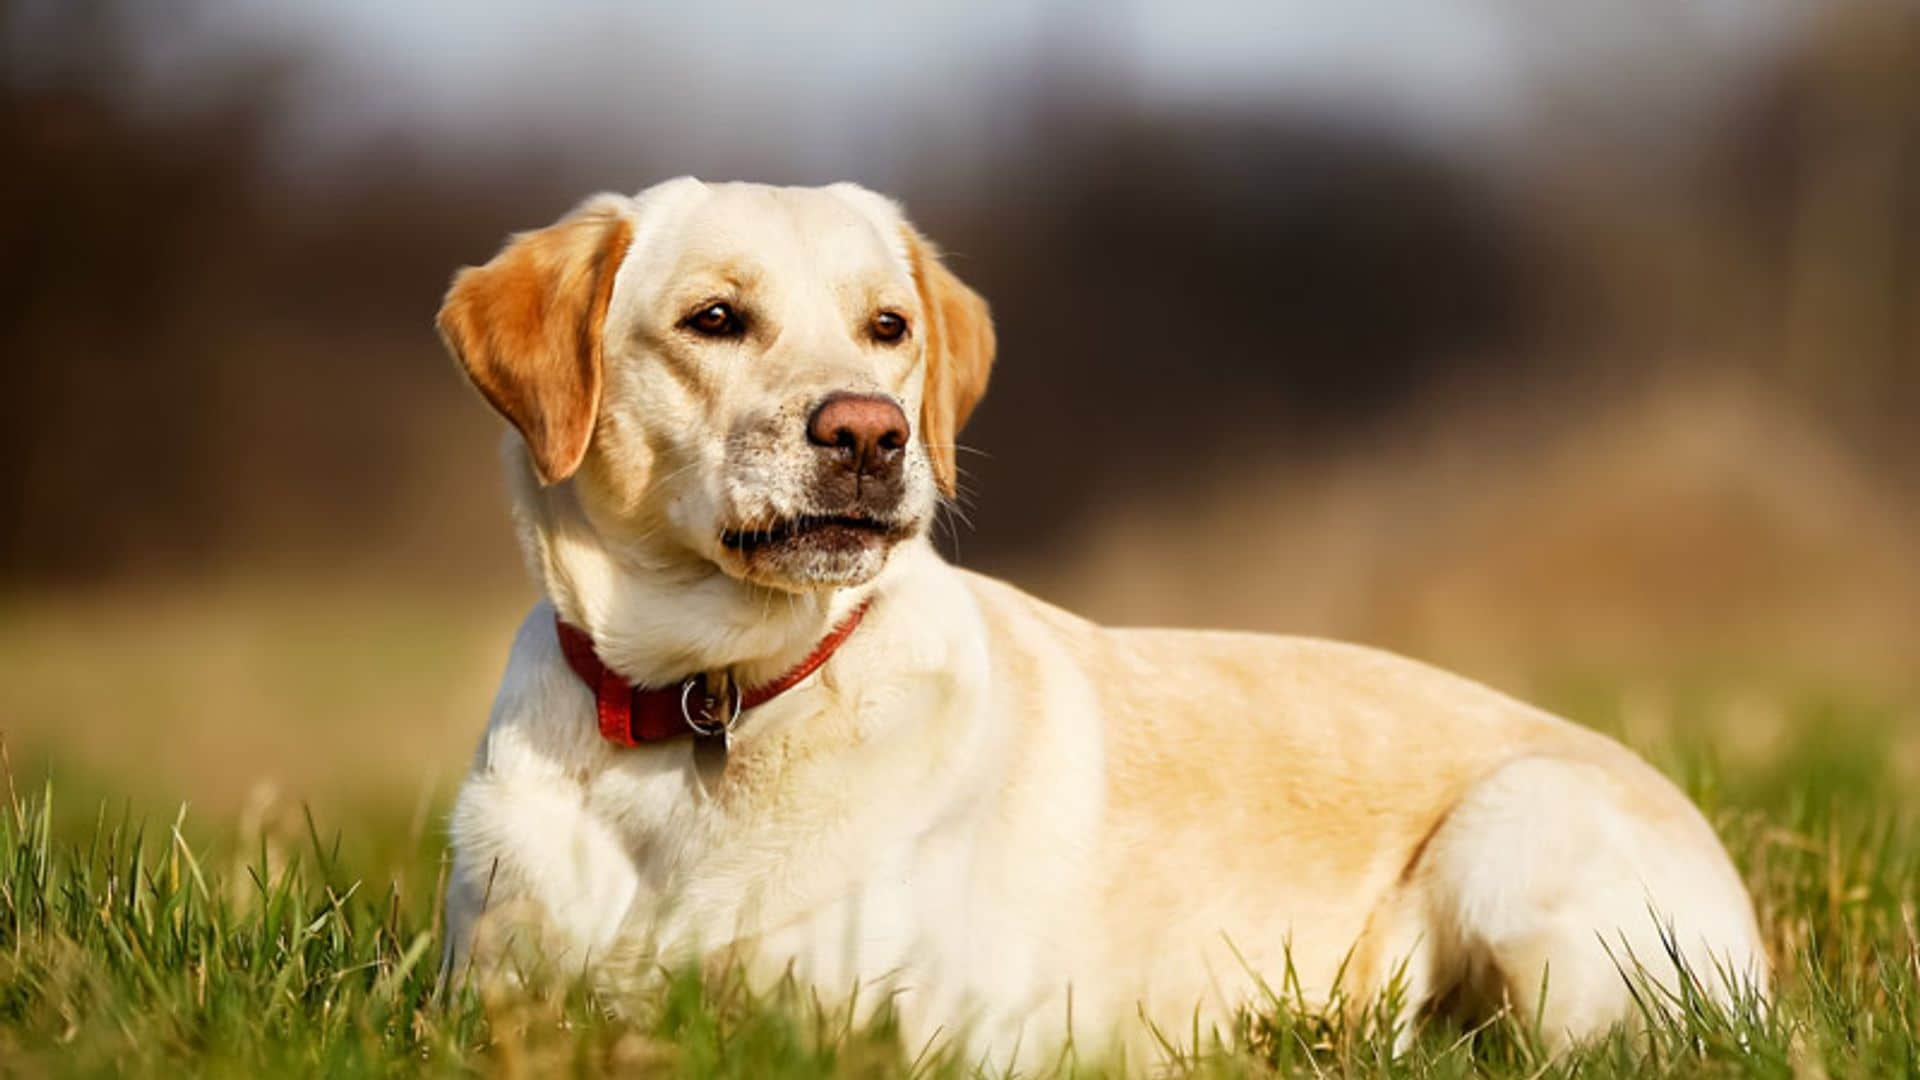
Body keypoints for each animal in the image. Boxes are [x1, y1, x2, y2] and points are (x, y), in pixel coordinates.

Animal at [435, 176, 1766, 1060]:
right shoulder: (489, 994)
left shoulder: (901, 1029)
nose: (871, 433)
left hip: (1519, 838)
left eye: (888, 327)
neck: (706, 699)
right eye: (714, 318)